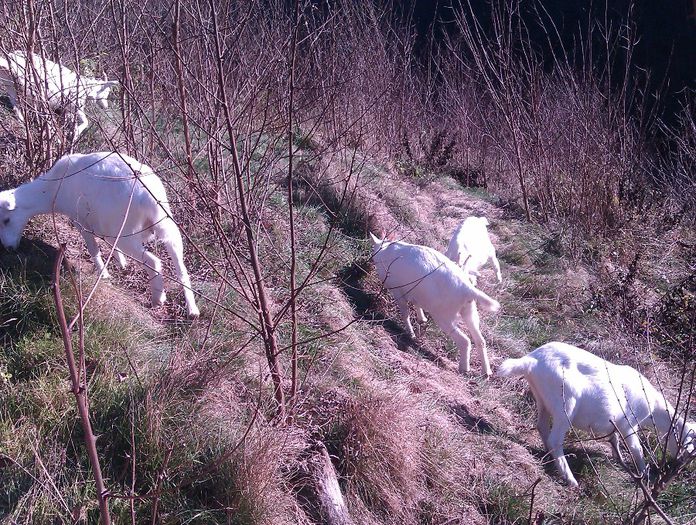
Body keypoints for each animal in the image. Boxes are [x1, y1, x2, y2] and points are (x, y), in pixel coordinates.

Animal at [0, 149, 201, 318]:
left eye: (6, 220)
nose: (8, 248)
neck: (53, 189)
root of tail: (147, 197)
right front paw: (121, 262)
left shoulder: (81, 221)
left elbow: (93, 248)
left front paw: (104, 274)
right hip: (168, 226)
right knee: (182, 268)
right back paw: (192, 310)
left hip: (124, 233)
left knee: (153, 261)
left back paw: (158, 298)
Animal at [370, 231, 500, 374]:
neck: (385, 249)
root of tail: (468, 288)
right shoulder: (415, 292)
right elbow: (417, 304)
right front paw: (422, 319)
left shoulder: (398, 291)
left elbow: (405, 314)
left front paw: (411, 334)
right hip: (470, 312)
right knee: (480, 340)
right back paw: (486, 372)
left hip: (444, 316)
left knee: (465, 341)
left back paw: (464, 368)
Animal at [498, 342, 692, 486]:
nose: (681, 467)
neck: (653, 407)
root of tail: (531, 360)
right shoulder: (629, 424)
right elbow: (637, 449)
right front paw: (643, 474)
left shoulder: (616, 423)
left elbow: (614, 438)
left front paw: (617, 457)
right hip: (565, 404)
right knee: (555, 439)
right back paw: (570, 479)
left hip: (542, 398)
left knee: (542, 426)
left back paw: (548, 456)